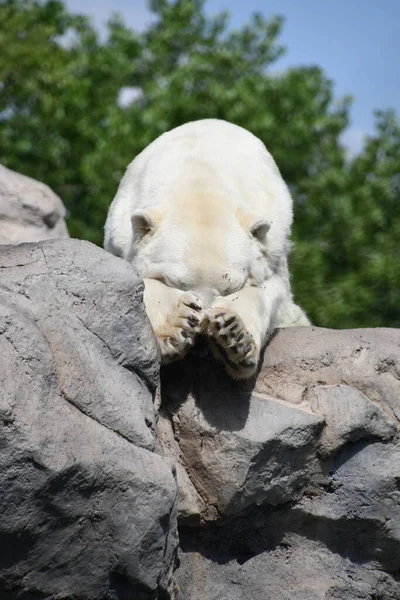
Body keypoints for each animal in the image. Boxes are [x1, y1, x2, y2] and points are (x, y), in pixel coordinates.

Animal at [104, 119, 310, 378]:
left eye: (230, 287)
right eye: (177, 283)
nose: (202, 334)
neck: (201, 179)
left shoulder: (273, 240)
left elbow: (269, 290)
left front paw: (234, 337)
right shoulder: (120, 230)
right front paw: (177, 323)